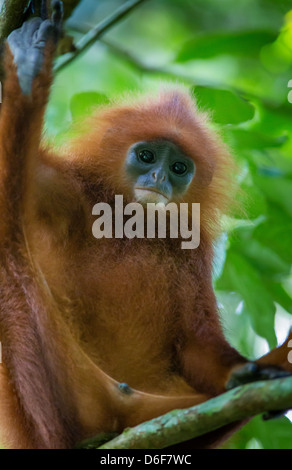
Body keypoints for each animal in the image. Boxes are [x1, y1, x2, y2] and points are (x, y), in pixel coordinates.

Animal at [0, 0, 290, 448]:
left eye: (178, 167)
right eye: (147, 156)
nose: (158, 179)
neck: (132, 224)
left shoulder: (194, 249)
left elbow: (195, 344)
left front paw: (241, 372)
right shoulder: (67, 190)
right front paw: (31, 65)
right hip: (69, 393)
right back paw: (29, 70)